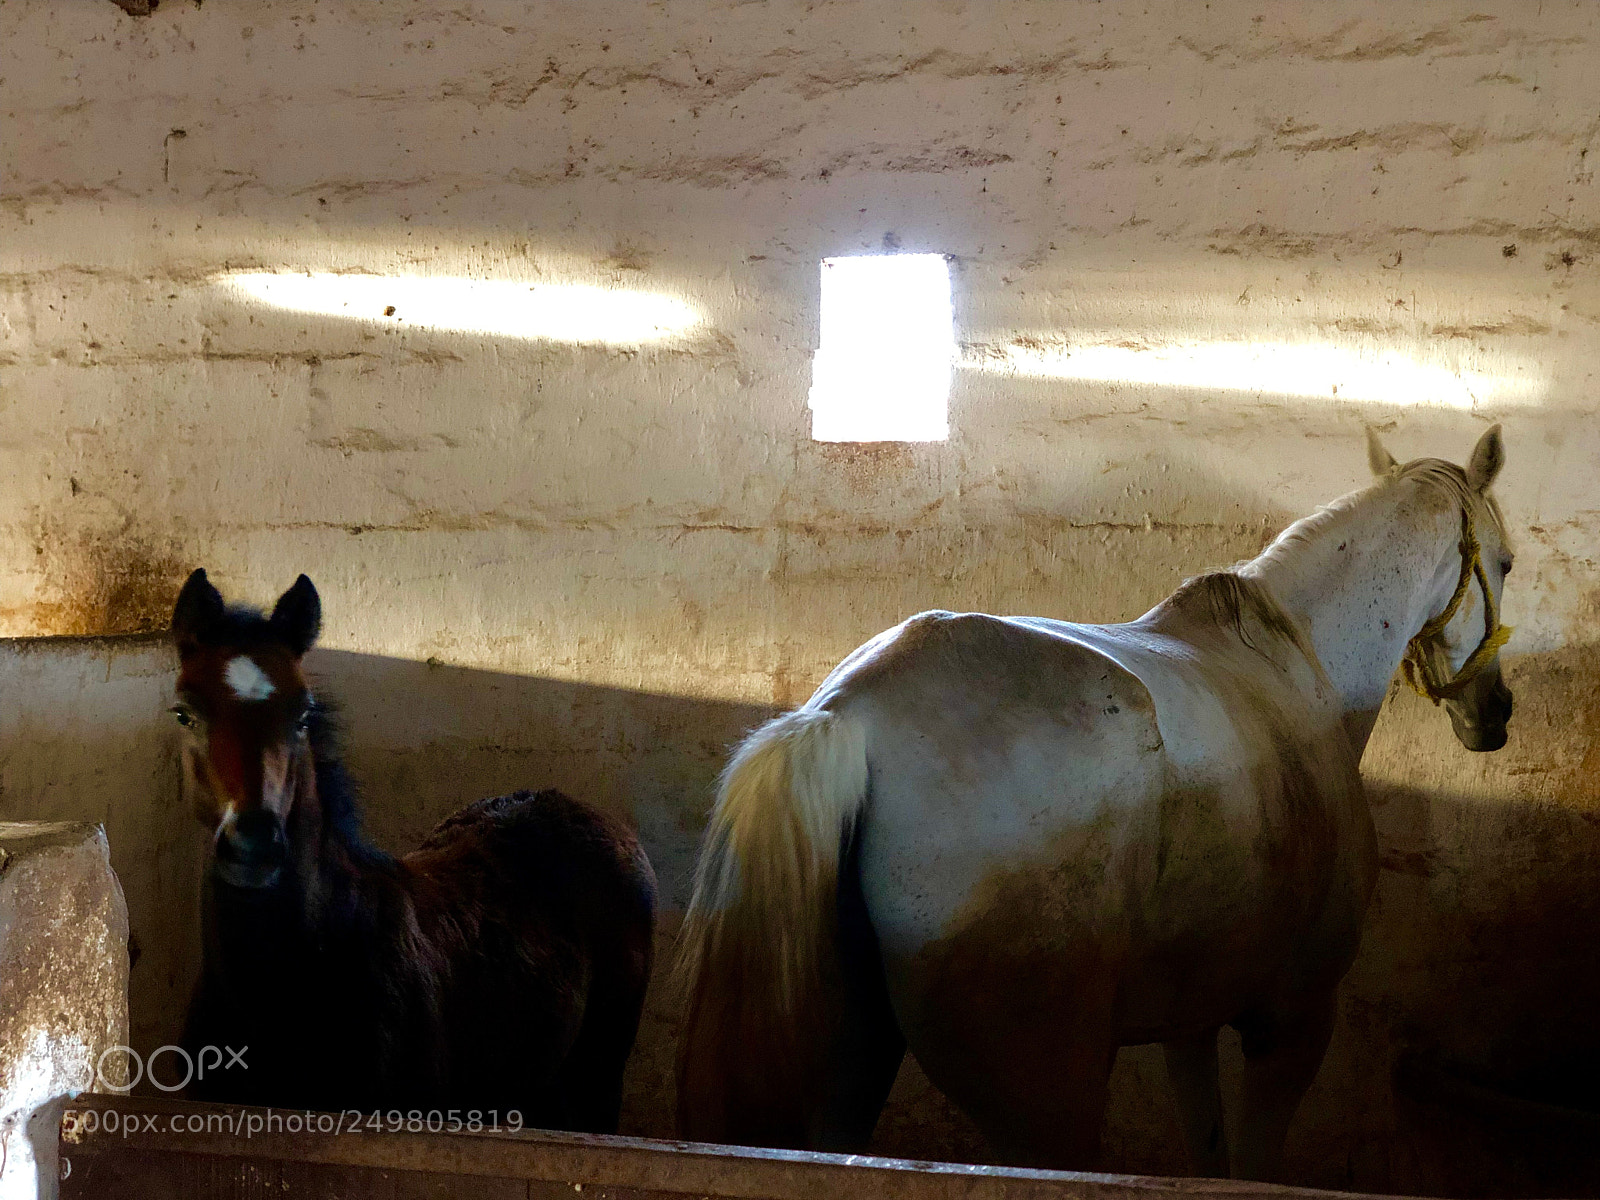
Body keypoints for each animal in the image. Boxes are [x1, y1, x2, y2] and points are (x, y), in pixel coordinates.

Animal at [677, 426, 1514, 1179]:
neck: (1299, 667)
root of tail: (852, 713)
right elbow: (1252, 1167)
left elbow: (1207, 1158)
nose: (1495, 712)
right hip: (1049, 1091)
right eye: (1505, 562)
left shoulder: (1190, 1021)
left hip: (850, 1061)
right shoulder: (1293, 1019)